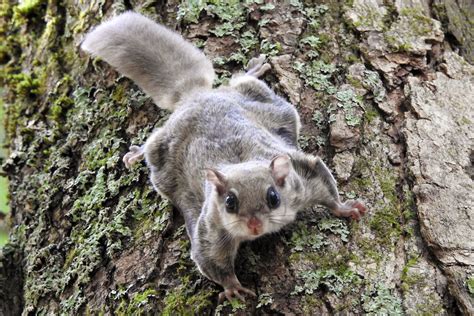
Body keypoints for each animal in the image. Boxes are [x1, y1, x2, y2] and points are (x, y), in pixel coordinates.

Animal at [81, 12, 366, 302]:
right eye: (230, 203)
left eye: (273, 197)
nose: (254, 225)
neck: (241, 163)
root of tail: (195, 95)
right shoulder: (211, 229)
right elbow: (211, 260)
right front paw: (233, 287)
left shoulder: (302, 177)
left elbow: (324, 187)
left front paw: (345, 208)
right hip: (162, 149)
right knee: (153, 141)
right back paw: (137, 153)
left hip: (264, 102)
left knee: (239, 82)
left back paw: (253, 69)